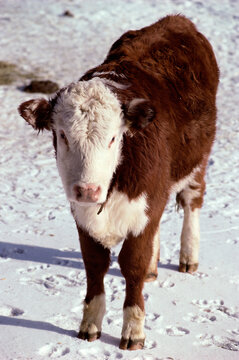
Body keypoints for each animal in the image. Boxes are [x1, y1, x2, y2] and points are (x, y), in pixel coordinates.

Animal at [18, 15, 219, 350]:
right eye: (62, 135)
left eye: (113, 138)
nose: (88, 189)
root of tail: (177, 20)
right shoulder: (83, 214)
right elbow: (95, 264)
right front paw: (89, 325)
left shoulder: (145, 205)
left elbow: (132, 264)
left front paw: (133, 331)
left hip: (198, 159)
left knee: (192, 201)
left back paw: (188, 257)